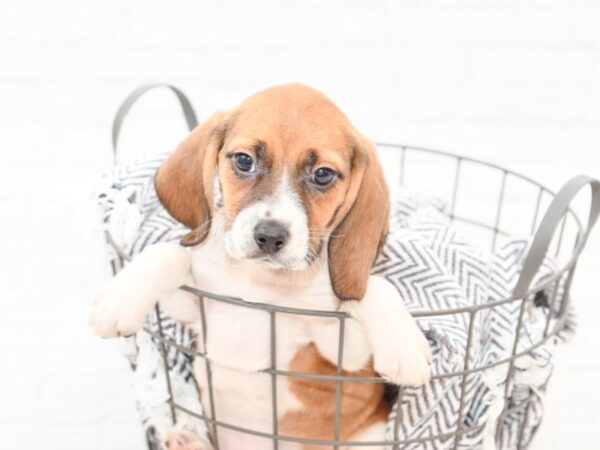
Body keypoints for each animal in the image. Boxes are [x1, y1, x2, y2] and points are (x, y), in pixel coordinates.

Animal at [90, 84, 432, 450]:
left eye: (322, 174)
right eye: (244, 160)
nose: (270, 236)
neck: (261, 281)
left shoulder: (345, 359)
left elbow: (369, 289)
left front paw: (405, 347)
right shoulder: (190, 308)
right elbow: (170, 253)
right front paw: (119, 301)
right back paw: (186, 440)